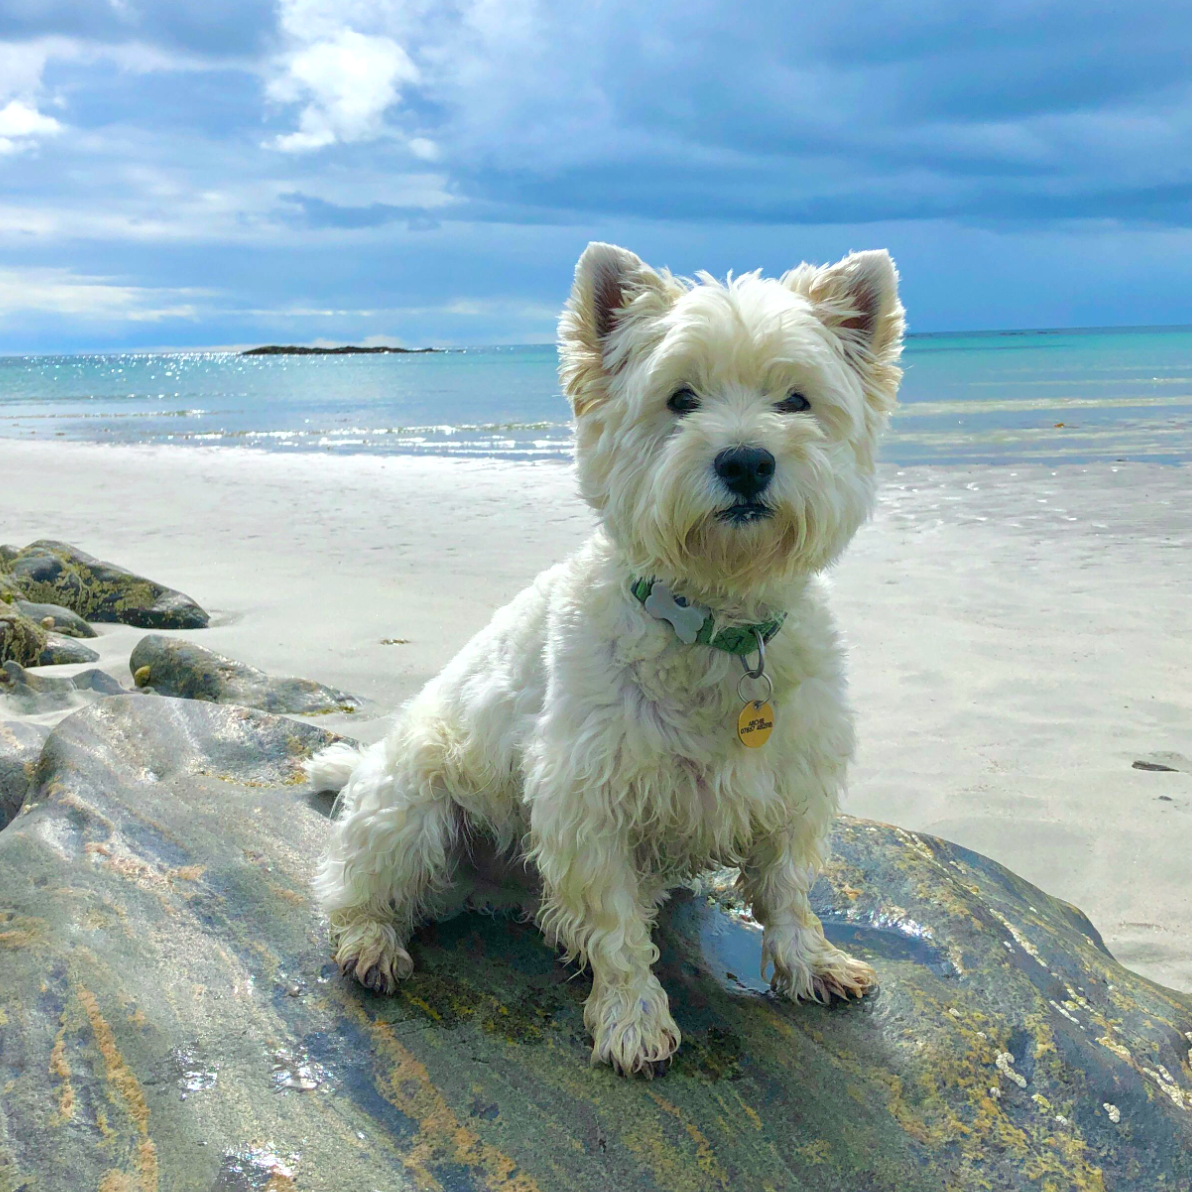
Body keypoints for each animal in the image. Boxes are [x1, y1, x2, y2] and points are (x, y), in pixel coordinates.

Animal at [307, 237, 901, 1077]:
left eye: (796, 400)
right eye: (680, 399)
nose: (746, 462)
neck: (714, 620)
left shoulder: (790, 782)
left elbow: (786, 891)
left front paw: (812, 965)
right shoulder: (586, 798)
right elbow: (617, 929)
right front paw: (632, 1020)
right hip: (414, 802)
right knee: (354, 886)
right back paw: (371, 945)